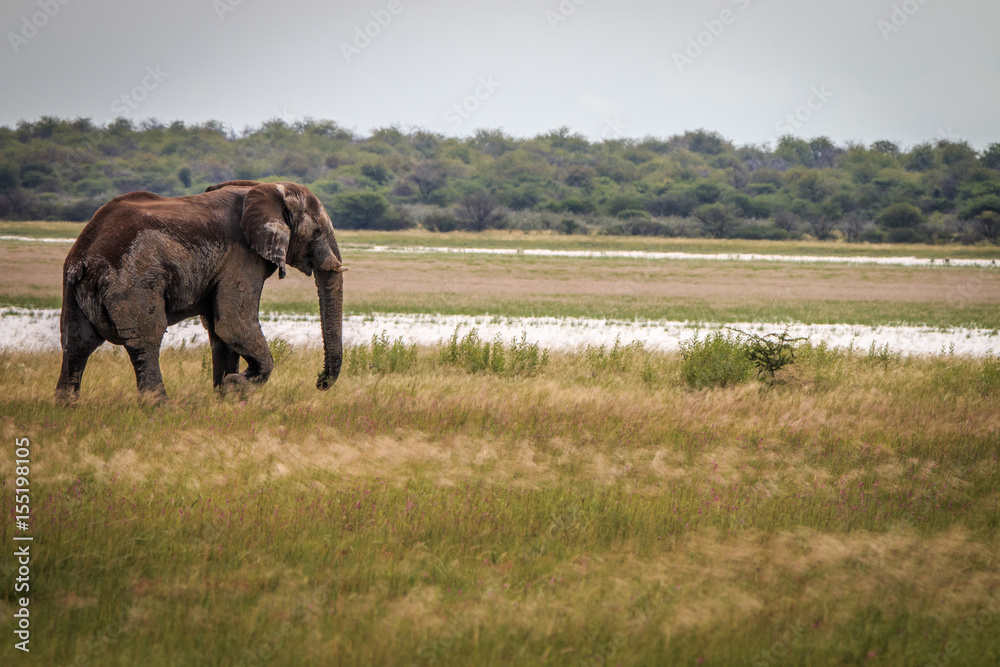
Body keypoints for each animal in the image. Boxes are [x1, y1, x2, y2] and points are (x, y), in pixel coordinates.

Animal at [55, 180, 346, 405]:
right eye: (317, 231)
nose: (319, 381)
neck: (269, 188)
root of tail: (85, 256)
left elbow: (220, 331)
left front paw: (225, 397)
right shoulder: (242, 257)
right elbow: (234, 326)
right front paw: (235, 385)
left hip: (72, 285)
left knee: (76, 341)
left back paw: (67, 407)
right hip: (132, 281)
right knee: (146, 338)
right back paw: (160, 408)